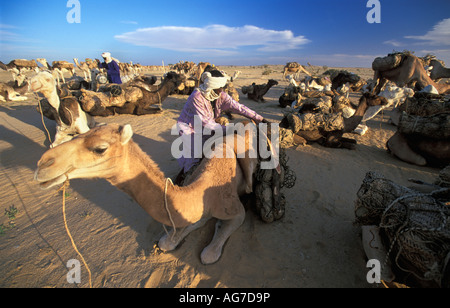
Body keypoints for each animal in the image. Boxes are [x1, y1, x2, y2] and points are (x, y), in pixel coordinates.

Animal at [34, 122, 260, 264]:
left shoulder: (236, 210)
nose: (43, 164)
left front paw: (211, 247)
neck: (201, 190)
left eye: (100, 148)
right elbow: (170, 238)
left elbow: (210, 252)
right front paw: (173, 238)